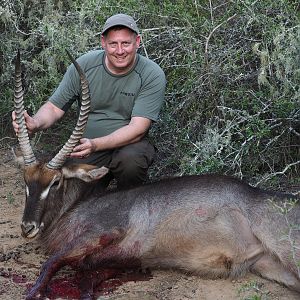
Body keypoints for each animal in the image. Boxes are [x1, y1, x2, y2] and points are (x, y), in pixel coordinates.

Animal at [14, 50, 300, 298]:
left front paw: (35, 292)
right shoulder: (121, 260)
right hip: (270, 266)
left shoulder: (101, 234)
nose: (28, 227)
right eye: (25, 180)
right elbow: (86, 277)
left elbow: (51, 263)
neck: (74, 208)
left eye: (55, 182)